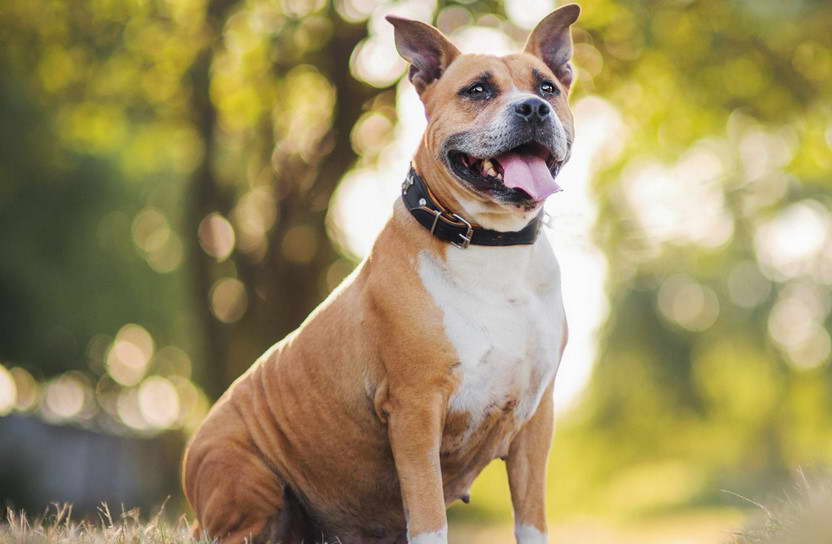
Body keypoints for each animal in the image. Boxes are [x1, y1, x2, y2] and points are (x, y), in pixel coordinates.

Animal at [184, 5, 580, 544]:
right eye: (477, 89)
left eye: (547, 88)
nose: (533, 110)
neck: (490, 245)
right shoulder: (415, 410)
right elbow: (429, 517)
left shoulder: (535, 419)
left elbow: (531, 519)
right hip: (247, 478)